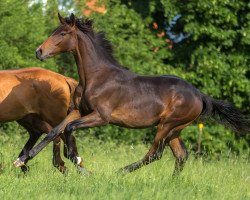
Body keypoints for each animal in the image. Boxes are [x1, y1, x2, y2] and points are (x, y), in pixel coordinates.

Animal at [14, 13, 249, 174]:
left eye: (62, 33)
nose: (39, 51)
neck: (96, 77)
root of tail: (200, 95)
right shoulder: (79, 111)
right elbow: (55, 130)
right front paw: (23, 159)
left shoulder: (100, 117)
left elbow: (69, 129)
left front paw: (76, 158)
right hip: (176, 129)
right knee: (181, 155)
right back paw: (172, 182)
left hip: (167, 125)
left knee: (155, 153)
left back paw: (121, 171)